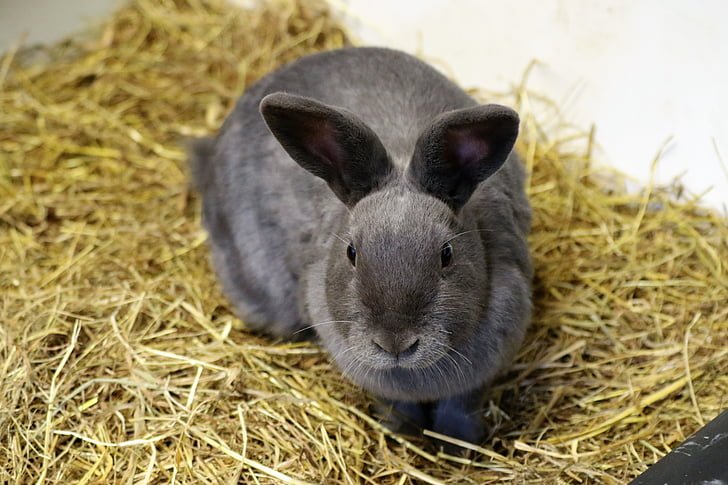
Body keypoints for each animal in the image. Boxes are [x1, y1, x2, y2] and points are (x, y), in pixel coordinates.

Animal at [189, 47, 532, 446]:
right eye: (351, 253)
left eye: (447, 254)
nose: (395, 343)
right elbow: (396, 403)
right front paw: (403, 432)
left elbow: (460, 405)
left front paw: (461, 444)